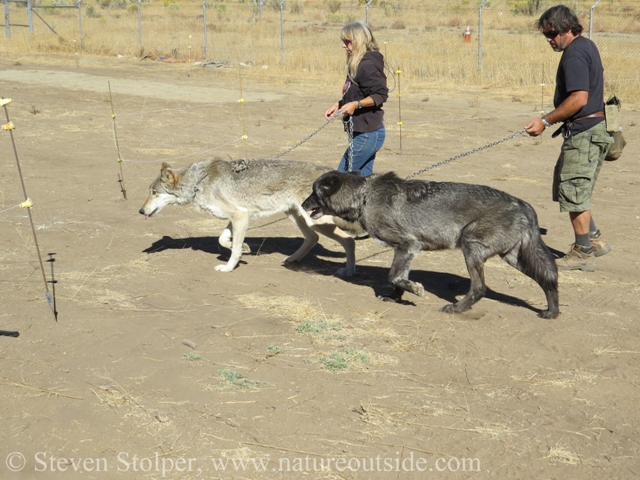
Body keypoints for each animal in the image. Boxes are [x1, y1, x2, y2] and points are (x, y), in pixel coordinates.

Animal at [139, 158, 356, 274]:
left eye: (154, 193)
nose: (141, 211)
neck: (198, 182)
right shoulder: (239, 216)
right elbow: (224, 239)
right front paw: (245, 248)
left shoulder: (240, 216)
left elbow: (233, 248)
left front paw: (228, 267)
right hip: (297, 216)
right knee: (312, 238)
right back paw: (291, 259)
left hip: (315, 221)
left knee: (349, 241)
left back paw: (349, 271)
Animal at [302, 172, 556, 318]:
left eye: (314, 192)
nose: (303, 205)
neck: (365, 195)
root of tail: (523, 205)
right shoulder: (405, 251)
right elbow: (398, 279)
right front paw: (396, 298)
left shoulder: (408, 245)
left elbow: (393, 276)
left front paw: (414, 290)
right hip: (515, 258)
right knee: (549, 278)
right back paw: (552, 312)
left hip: (472, 249)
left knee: (479, 288)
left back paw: (456, 309)